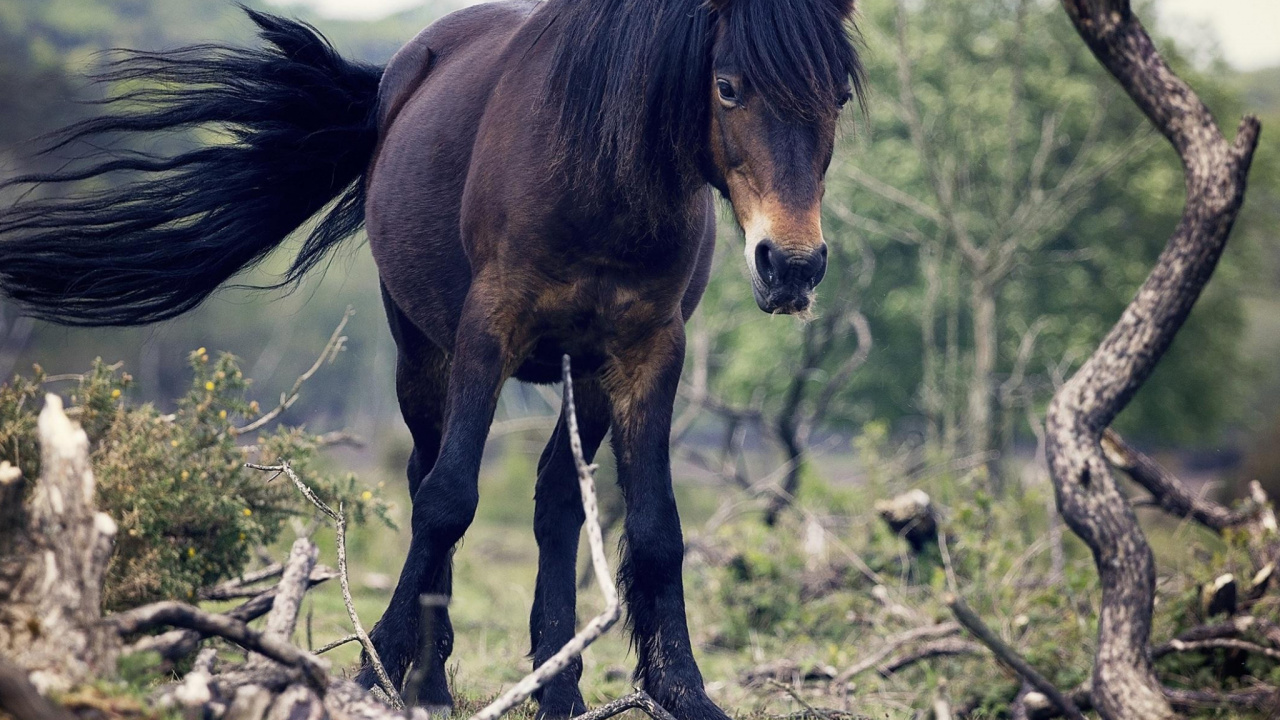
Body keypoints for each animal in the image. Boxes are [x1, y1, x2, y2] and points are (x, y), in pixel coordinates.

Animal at [0, 1, 863, 717]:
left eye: (840, 98)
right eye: (728, 86)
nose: (792, 266)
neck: (600, 178)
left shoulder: (648, 352)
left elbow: (654, 528)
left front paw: (683, 691)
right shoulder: (488, 332)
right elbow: (448, 499)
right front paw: (373, 669)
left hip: (580, 376)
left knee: (555, 500)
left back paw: (558, 688)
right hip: (423, 349)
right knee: (428, 474)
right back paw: (430, 681)